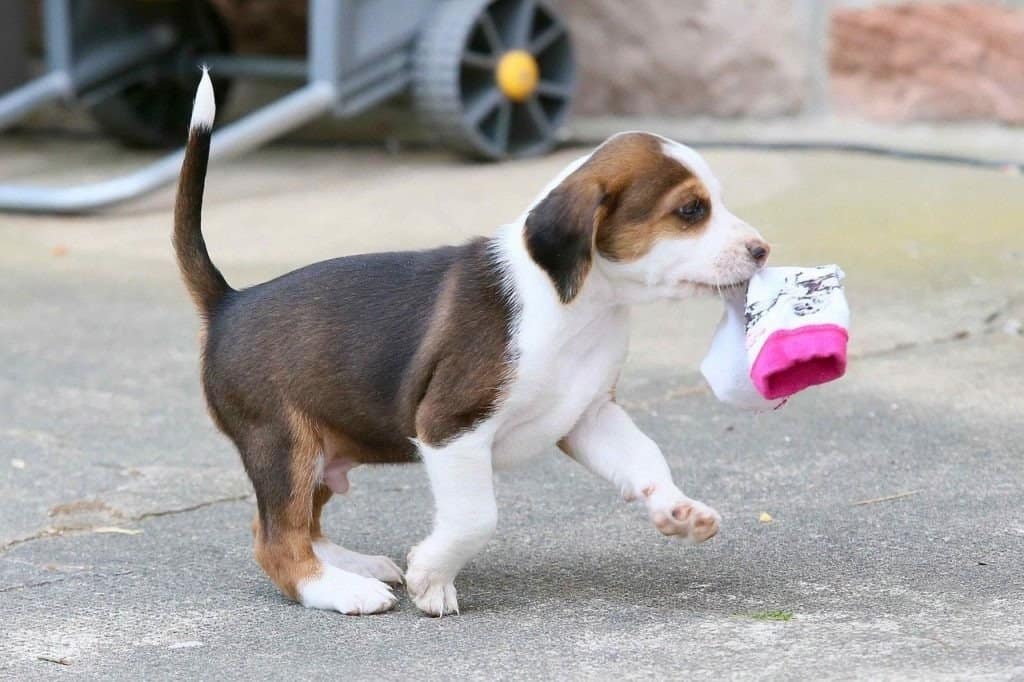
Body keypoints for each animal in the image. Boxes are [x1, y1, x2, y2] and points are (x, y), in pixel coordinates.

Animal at [174, 71, 770, 614]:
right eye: (691, 210)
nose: (763, 249)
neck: (579, 305)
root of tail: (229, 301)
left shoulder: (589, 415)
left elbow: (645, 456)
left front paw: (678, 511)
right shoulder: (451, 427)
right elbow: (476, 517)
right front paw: (432, 578)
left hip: (321, 445)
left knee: (292, 526)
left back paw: (355, 566)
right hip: (286, 443)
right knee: (278, 540)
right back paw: (345, 591)